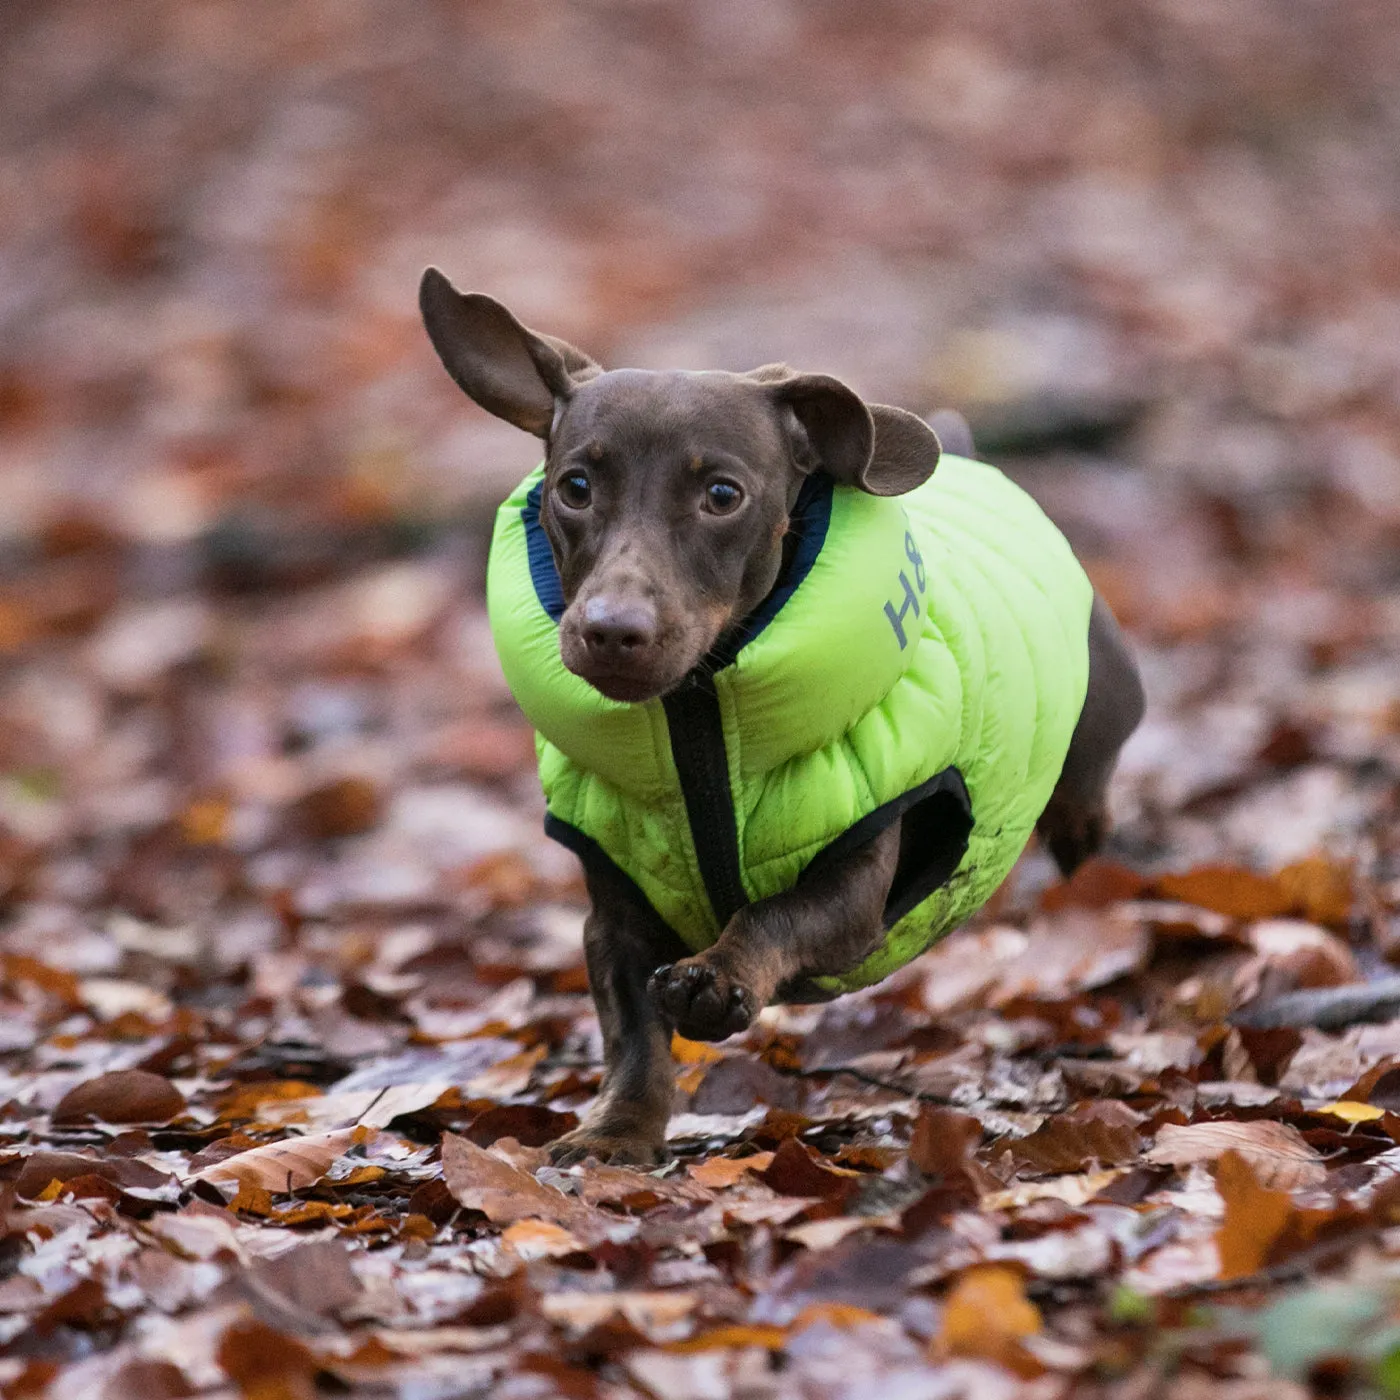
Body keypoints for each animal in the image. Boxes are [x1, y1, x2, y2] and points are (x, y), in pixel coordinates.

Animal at [420, 267, 1142, 1164]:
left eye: (722, 494)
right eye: (574, 488)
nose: (612, 631)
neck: (695, 716)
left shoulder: (855, 888)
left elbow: (775, 914)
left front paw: (717, 978)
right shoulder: (611, 920)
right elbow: (633, 1038)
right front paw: (616, 1132)